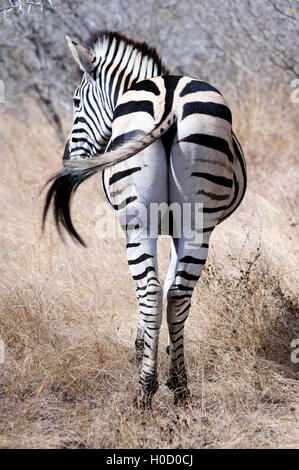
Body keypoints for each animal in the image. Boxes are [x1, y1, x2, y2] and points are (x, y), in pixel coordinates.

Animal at [43, 31, 247, 410]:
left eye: (76, 101)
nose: (67, 159)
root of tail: (169, 98)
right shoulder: (179, 229)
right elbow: (170, 285)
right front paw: (165, 347)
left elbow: (157, 287)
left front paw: (143, 346)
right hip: (196, 221)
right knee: (177, 293)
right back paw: (179, 386)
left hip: (138, 223)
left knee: (150, 291)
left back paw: (145, 390)